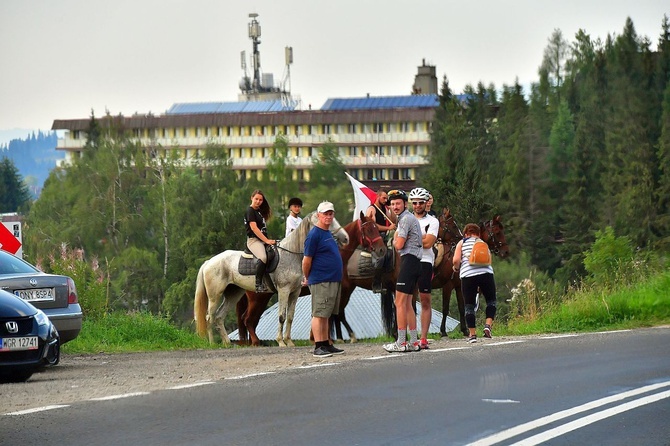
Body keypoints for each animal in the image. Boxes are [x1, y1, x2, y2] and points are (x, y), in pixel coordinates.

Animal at [194, 211, 350, 346]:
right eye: (328, 221)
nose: (345, 238)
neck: (292, 254)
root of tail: (209, 261)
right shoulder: (284, 291)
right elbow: (281, 316)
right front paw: (281, 342)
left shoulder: (295, 292)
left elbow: (290, 317)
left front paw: (289, 341)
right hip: (215, 296)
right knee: (210, 317)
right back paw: (212, 343)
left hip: (234, 294)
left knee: (219, 317)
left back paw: (227, 343)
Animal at [236, 214, 386, 346]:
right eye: (369, 230)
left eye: (377, 228)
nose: (381, 249)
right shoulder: (339, 291)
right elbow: (333, 314)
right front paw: (329, 339)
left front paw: (318, 338)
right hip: (258, 299)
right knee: (248, 319)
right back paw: (256, 342)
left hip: (262, 298)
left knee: (249, 319)